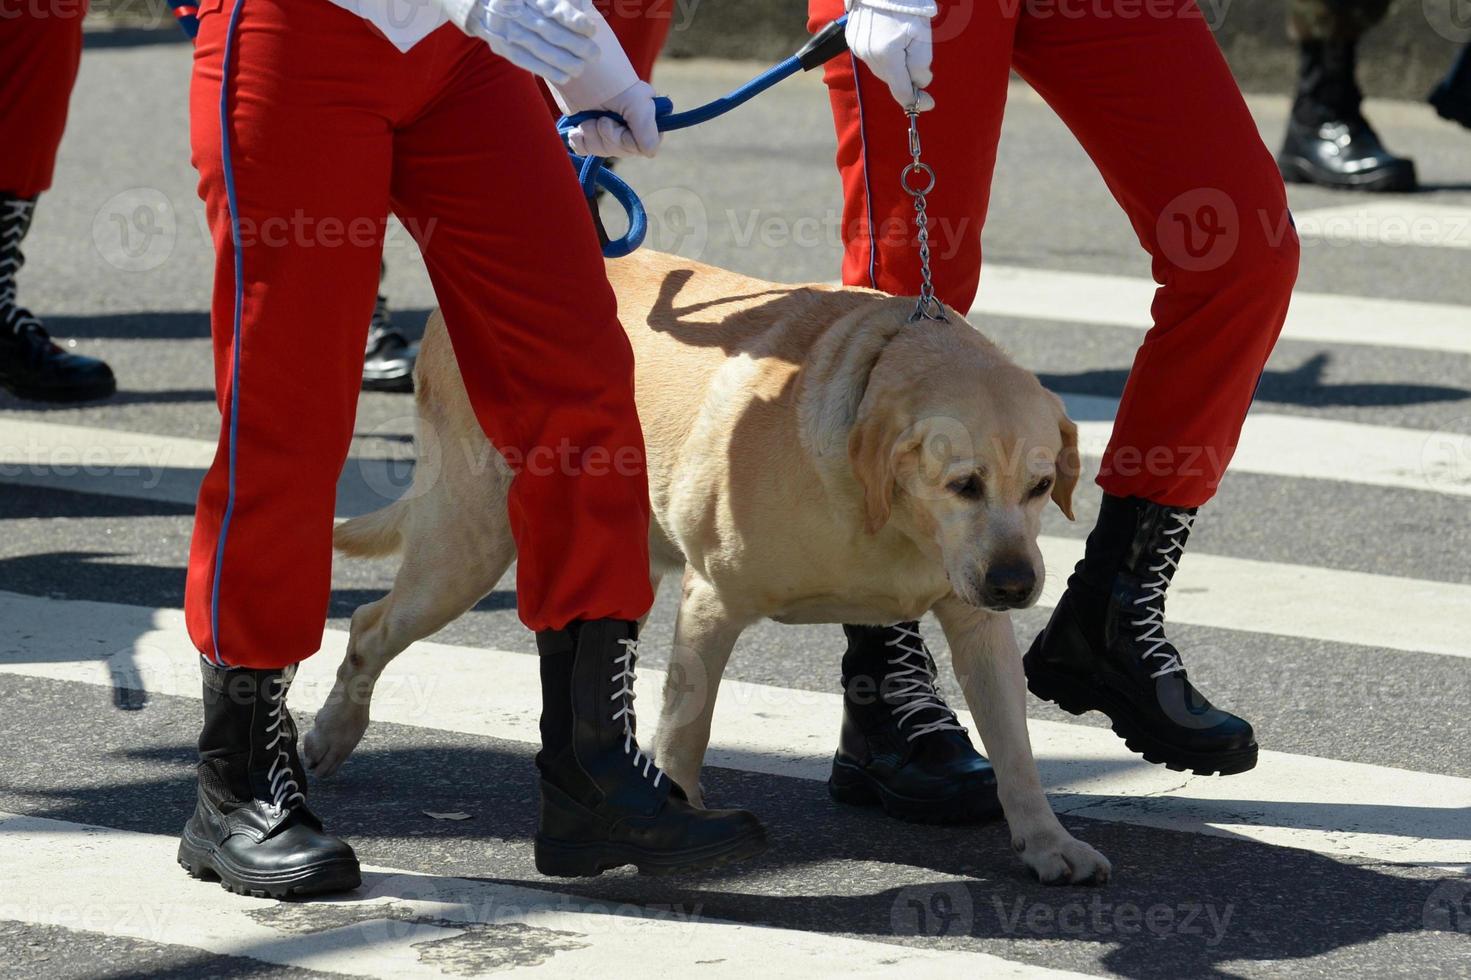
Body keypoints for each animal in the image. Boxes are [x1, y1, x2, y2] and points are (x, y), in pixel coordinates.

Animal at [313, 248, 1112, 882]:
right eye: (963, 485)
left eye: (1041, 486)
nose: (1017, 585)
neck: (889, 516)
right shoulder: (712, 603)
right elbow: (687, 729)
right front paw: (678, 814)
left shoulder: (977, 626)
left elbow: (1015, 749)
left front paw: (1046, 842)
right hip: (467, 545)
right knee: (369, 624)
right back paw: (331, 733)